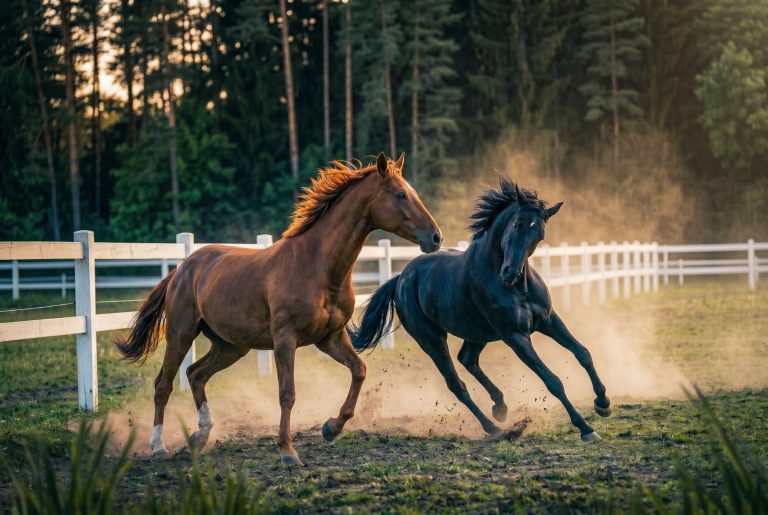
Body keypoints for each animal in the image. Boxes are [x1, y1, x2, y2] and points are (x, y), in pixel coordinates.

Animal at [115, 153, 442, 466]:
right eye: (400, 194)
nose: (435, 237)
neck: (316, 267)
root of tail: (182, 268)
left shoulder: (330, 338)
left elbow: (359, 371)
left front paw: (330, 428)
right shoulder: (286, 339)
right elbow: (287, 393)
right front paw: (287, 451)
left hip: (231, 346)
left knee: (196, 374)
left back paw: (199, 437)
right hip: (181, 334)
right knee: (163, 385)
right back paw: (159, 448)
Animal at [348, 177, 611, 441]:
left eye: (539, 233)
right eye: (516, 224)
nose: (510, 273)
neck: (518, 289)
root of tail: (400, 278)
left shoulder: (548, 320)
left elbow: (583, 353)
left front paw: (603, 403)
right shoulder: (515, 336)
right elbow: (552, 380)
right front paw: (586, 428)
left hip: (476, 332)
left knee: (468, 359)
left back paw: (500, 406)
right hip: (432, 340)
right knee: (457, 384)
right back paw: (493, 427)